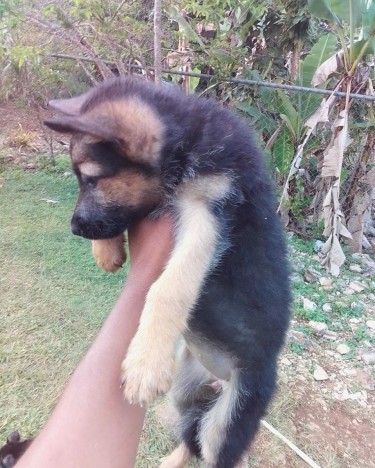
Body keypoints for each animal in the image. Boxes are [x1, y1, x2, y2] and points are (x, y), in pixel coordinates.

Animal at [44, 77, 290, 468]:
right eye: (81, 180)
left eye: (92, 180)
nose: (75, 228)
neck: (188, 140)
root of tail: (219, 379)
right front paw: (106, 250)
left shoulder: (209, 210)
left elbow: (169, 287)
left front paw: (146, 363)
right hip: (186, 390)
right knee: (191, 437)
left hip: (230, 420)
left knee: (214, 450)